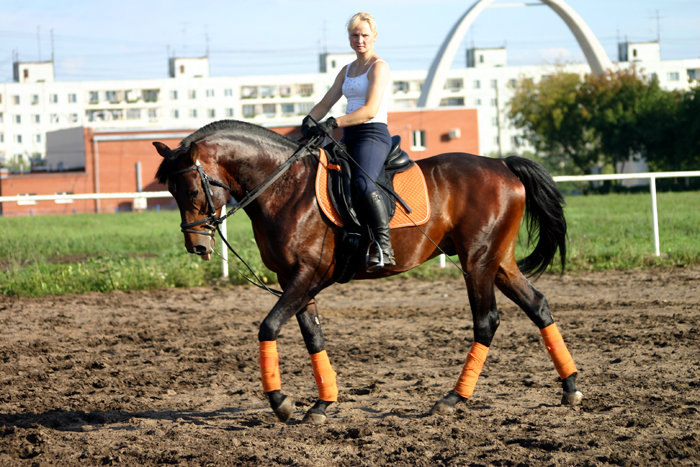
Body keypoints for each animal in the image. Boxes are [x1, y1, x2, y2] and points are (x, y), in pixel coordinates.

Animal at [154, 119, 584, 424]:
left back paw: (453, 399)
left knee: (486, 321)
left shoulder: (306, 276)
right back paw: (570, 388)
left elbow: (269, 327)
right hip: (500, 262)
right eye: (171, 192)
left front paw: (281, 402)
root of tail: (502, 164)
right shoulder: (293, 281)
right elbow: (313, 337)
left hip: (477, 262)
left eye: (191, 190)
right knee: (538, 306)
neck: (285, 188)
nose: (198, 246)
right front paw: (322, 404)